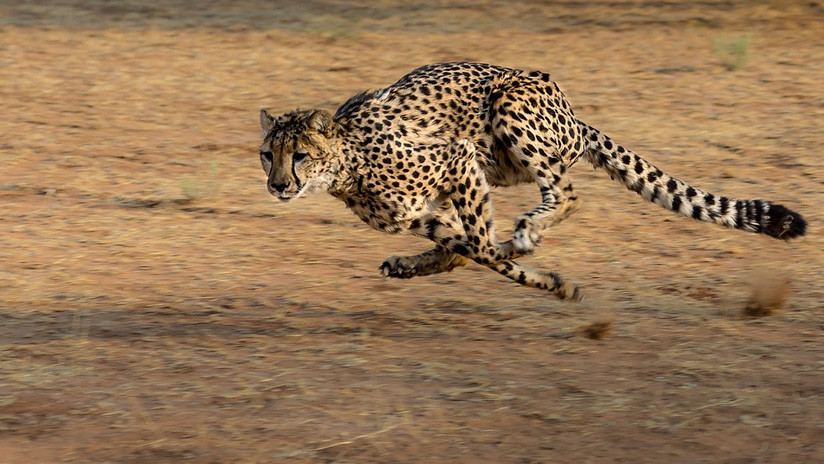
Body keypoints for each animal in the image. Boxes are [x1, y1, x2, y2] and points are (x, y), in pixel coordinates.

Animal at [260, 61, 804, 300]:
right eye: (268, 155)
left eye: (300, 155)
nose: (278, 185)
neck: (347, 165)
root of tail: (573, 114)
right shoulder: (421, 214)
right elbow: (468, 248)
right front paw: (546, 279)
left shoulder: (457, 158)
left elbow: (482, 246)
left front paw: (542, 273)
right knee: (466, 245)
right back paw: (417, 263)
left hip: (509, 111)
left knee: (566, 193)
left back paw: (526, 231)